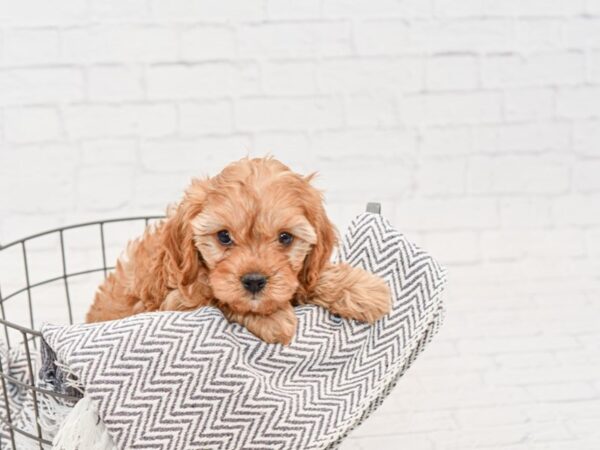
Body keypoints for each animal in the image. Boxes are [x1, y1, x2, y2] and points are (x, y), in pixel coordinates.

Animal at [86, 158, 392, 344]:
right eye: (224, 236)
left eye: (285, 237)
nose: (254, 281)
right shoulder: (176, 300)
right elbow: (217, 296)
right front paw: (271, 318)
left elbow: (307, 280)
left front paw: (363, 289)